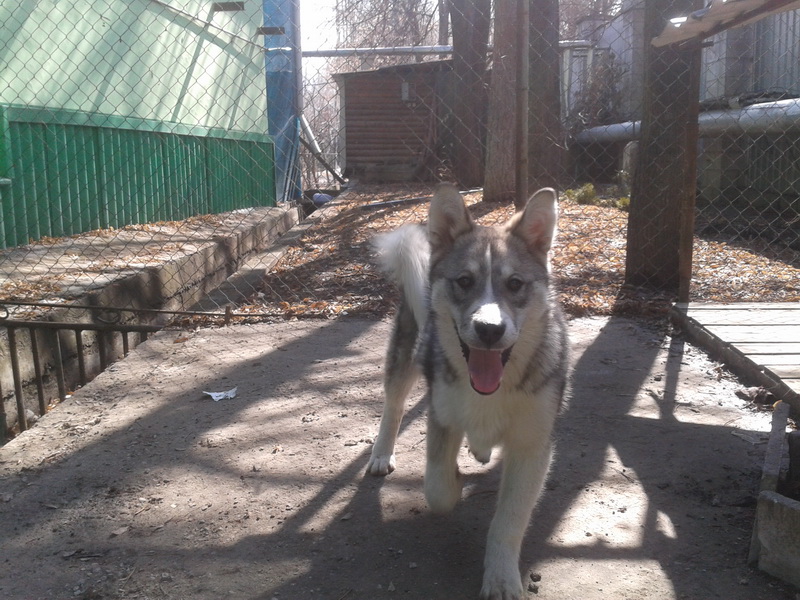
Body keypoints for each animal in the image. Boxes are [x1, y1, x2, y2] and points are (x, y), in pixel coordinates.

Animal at [367, 183, 569, 599]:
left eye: (514, 284)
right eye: (464, 281)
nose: (489, 330)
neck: (491, 391)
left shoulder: (532, 446)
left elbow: (509, 520)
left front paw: (502, 578)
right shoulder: (442, 418)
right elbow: (437, 489)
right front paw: (456, 482)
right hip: (405, 358)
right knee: (393, 406)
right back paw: (381, 452)